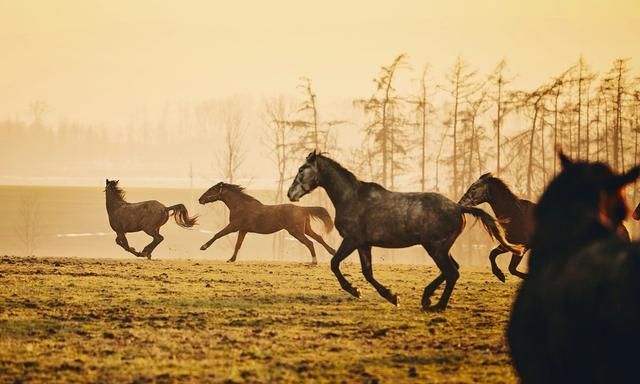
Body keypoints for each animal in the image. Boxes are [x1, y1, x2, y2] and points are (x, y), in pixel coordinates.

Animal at [199, 181, 336, 264]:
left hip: (296, 232)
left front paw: (203, 247)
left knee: (310, 243)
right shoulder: (243, 230)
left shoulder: (233, 226)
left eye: (211, 189)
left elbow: (218, 234)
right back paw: (332, 252)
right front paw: (231, 259)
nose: (200, 199)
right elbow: (238, 245)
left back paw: (314, 261)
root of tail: (303, 209)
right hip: (306, 229)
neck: (240, 206)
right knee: (318, 238)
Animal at [288, 152, 524, 310]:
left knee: (452, 272)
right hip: (441, 248)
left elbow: (334, 263)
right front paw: (390, 296)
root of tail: (458, 208)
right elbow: (367, 272)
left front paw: (357, 291)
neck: (352, 198)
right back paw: (428, 298)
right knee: (452, 270)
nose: (290, 193)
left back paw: (436, 305)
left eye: (301, 169)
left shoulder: (351, 240)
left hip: (435, 248)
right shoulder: (364, 244)